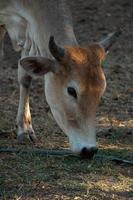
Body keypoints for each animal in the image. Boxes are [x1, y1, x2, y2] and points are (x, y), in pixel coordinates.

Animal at [0, 0, 120, 159]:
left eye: (101, 91)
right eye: (71, 90)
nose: (89, 149)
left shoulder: (30, 31)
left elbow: (25, 77)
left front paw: (25, 130)